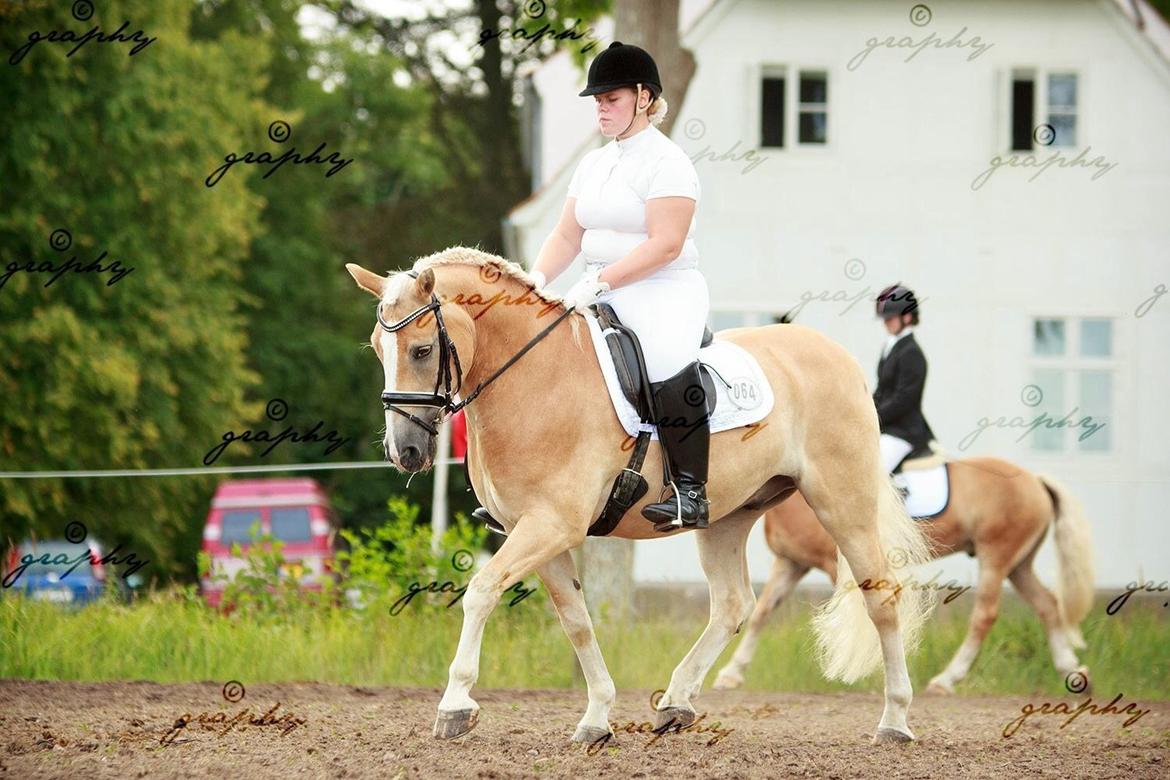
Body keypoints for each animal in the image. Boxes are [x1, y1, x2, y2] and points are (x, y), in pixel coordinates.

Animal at [343, 249, 931, 743]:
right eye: (377, 349)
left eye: (422, 350)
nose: (405, 451)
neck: (532, 379)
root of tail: (837, 355)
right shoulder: (535, 532)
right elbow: (576, 620)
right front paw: (596, 716)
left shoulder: (551, 525)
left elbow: (482, 590)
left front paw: (455, 705)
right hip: (729, 516)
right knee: (733, 605)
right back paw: (676, 702)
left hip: (842, 502)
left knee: (880, 596)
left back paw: (895, 721)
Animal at [711, 460, 1095, 692]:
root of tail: (1036, 480)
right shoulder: (790, 564)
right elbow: (762, 614)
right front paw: (731, 674)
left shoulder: (838, 564)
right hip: (1019, 564)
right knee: (1047, 605)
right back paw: (1071, 670)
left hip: (996, 557)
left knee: (984, 615)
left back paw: (946, 679)